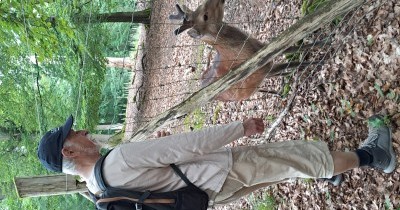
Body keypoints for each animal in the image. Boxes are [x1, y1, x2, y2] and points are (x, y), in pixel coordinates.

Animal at [168, 0, 322, 101]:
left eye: (200, 6)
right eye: (205, 16)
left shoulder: (267, 47)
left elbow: (293, 46)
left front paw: (321, 44)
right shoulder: (262, 69)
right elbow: (295, 61)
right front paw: (319, 61)